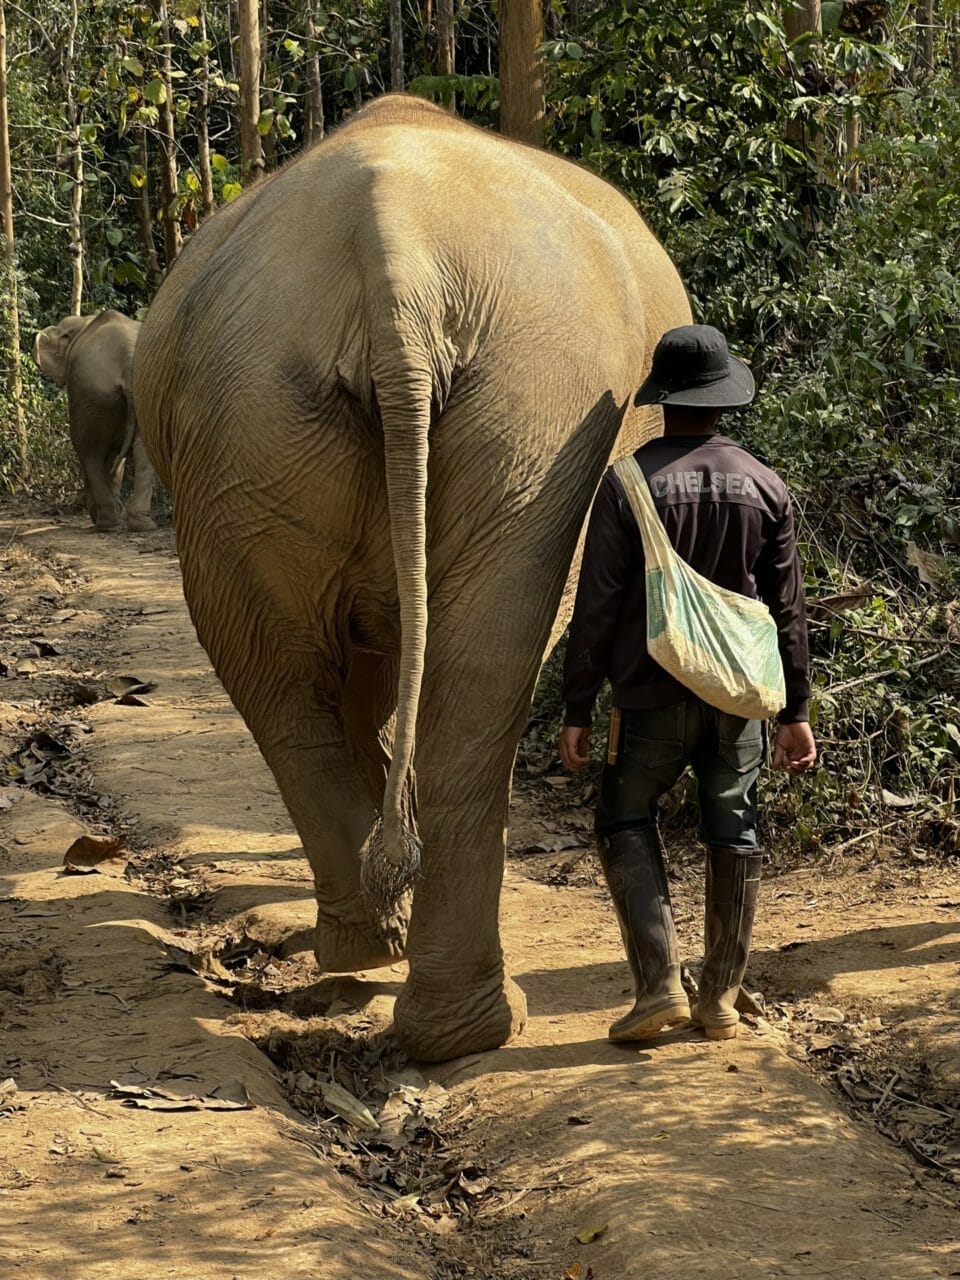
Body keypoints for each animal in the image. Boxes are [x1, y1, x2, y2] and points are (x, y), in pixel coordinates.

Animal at [34, 309, 156, 529]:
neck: (85, 321)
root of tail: (129, 360)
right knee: (143, 453)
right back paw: (140, 524)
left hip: (93, 393)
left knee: (87, 450)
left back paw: (106, 522)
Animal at [135, 94, 691, 1064]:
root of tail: (393, 250)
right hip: (490, 410)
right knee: (438, 671)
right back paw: (448, 1006)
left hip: (293, 426)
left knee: (321, 678)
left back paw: (404, 980)